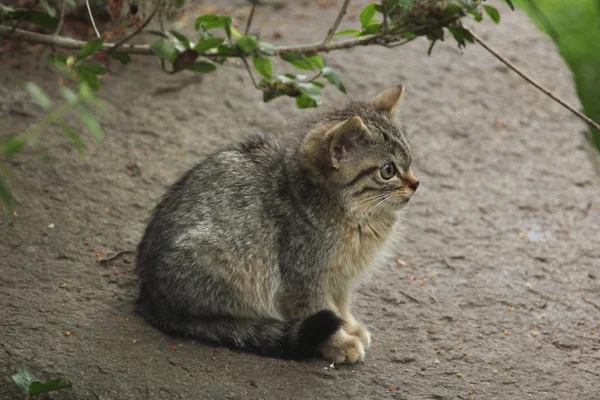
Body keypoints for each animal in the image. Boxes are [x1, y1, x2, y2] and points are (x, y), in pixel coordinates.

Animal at [135, 86, 418, 362]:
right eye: (388, 170)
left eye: (410, 162)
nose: (416, 183)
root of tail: (150, 296)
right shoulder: (303, 278)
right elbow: (320, 309)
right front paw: (339, 342)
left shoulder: (341, 277)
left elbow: (341, 305)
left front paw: (349, 326)